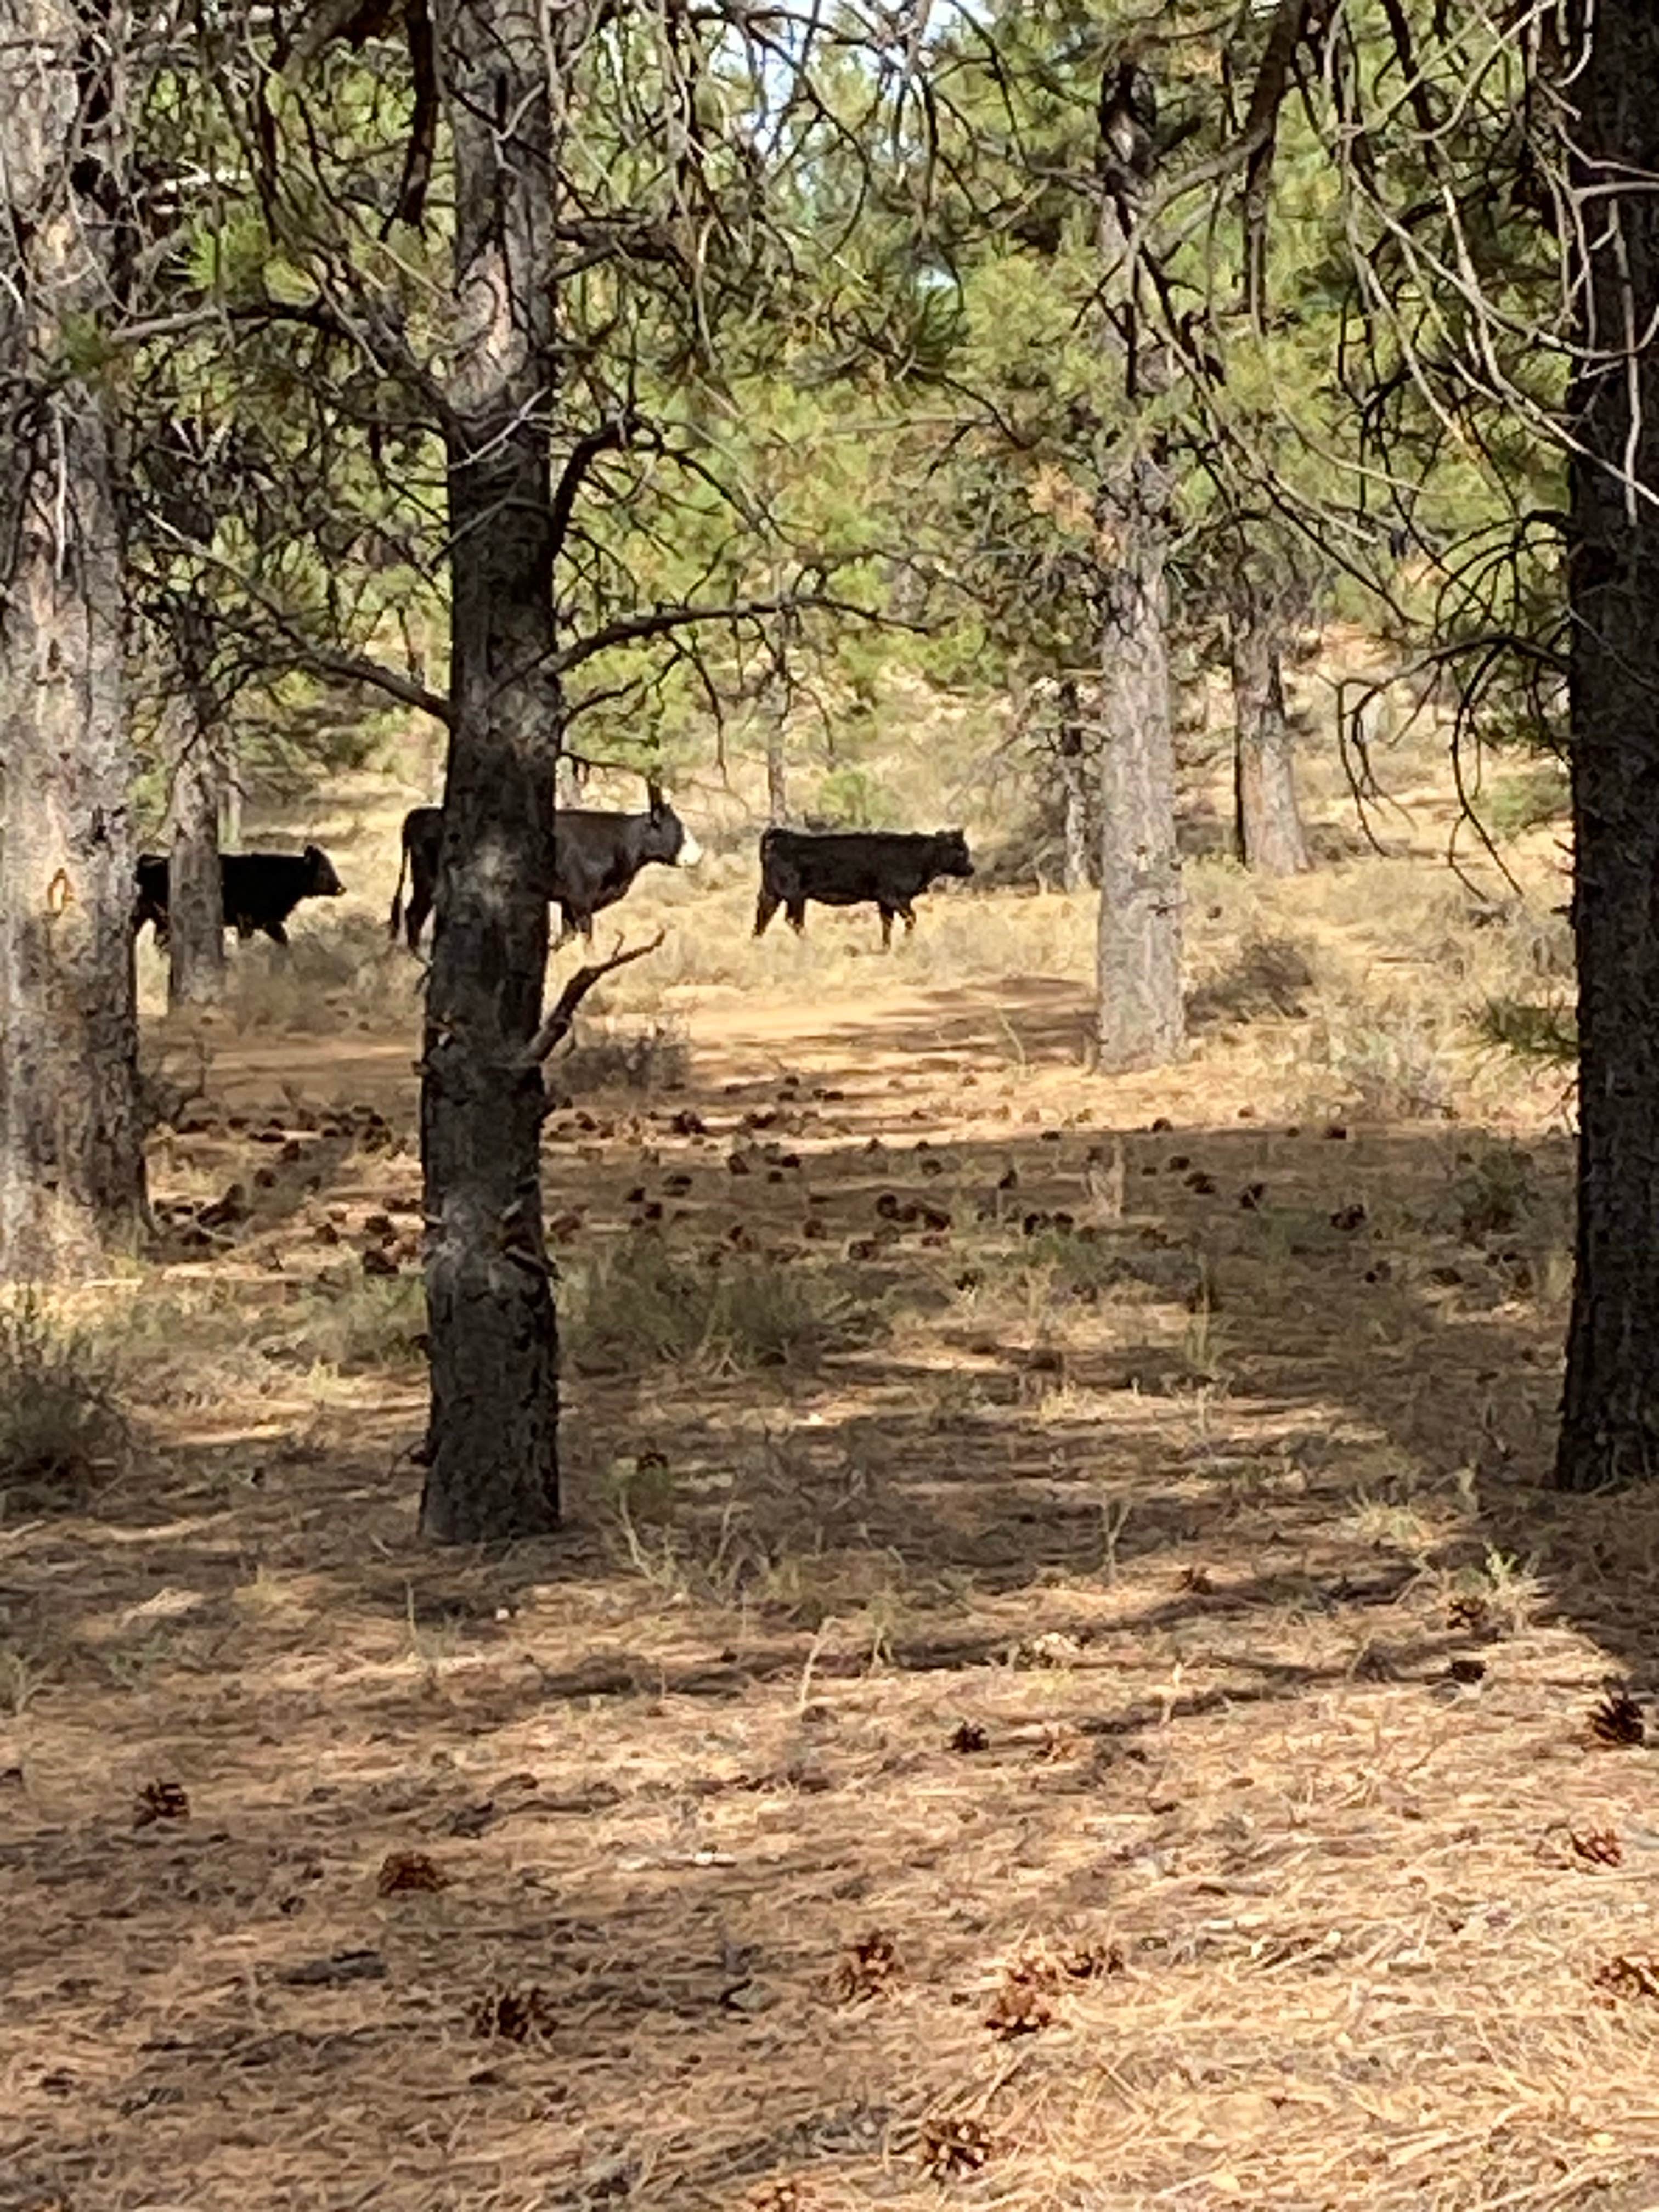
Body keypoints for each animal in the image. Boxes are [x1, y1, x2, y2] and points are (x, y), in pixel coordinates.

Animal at [134, 840, 345, 946]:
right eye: (323, 869)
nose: (342, 888)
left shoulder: (268, 922)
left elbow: (284, 941)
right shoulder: (246, 920)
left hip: (160, 923)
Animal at [393, 787, 703, 951]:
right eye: (678, 829)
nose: (699, 855)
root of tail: (419, 814)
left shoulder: (567, 901)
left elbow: (567, 935)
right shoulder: (581, 899)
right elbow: (587, 937)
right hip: (428, 880)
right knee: (413, 915)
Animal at [752, 822, 973, 942]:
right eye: (960, 851)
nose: (972, 869)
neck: (919, 855)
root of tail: (783, 837)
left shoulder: (885, 902)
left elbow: (887, 924)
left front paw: (887, 949)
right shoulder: (894, 897)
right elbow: (911, 918)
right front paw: (906, 943)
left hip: (772, 894)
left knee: (763, 919)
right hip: (795, 897)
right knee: (793, 921)